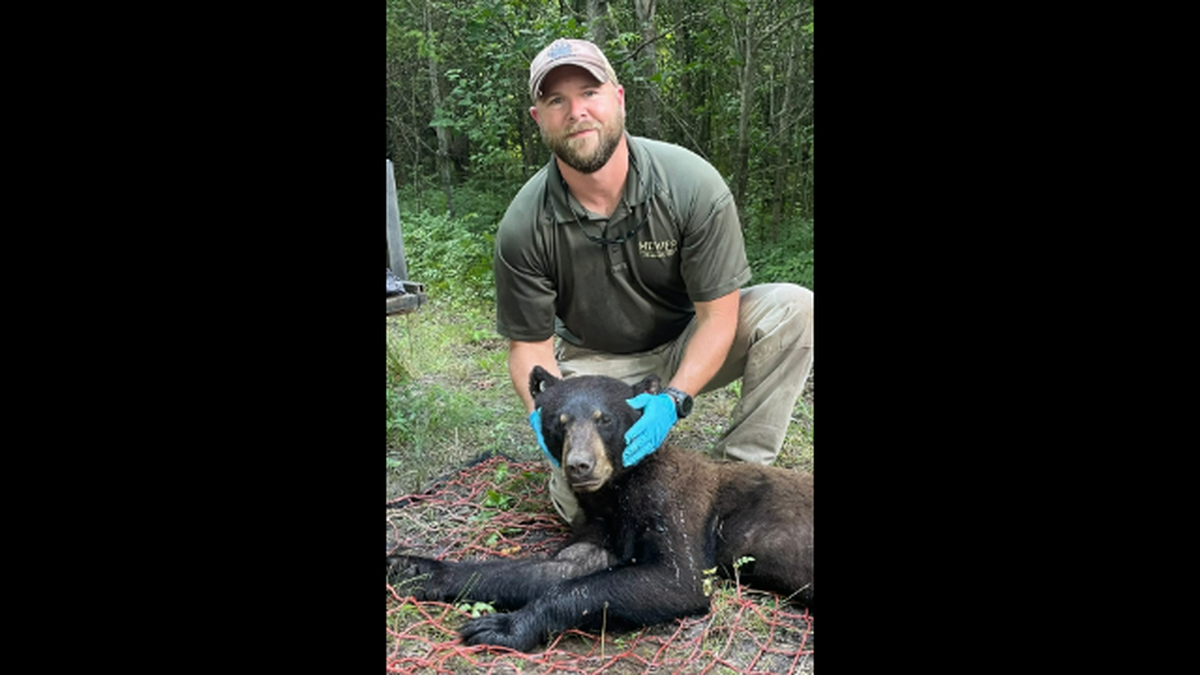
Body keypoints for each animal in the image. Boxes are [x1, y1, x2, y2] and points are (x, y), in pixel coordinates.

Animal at [386, 366, 813, 652]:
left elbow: (680, 579)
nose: (580, 465)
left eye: (603, 419)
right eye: (558, 422)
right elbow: (561, 568)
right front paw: (415, 568)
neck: (617, 490)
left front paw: (507, 625)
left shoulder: (673, 500)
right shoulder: (605, 522)